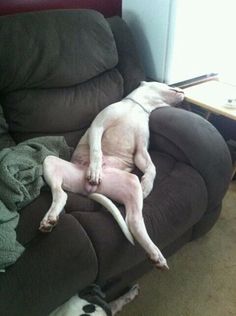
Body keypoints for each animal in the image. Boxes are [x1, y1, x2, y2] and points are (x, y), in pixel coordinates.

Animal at [39, 81, 184, 270]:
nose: (183, 91)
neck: (136, 106)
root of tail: (87, 191)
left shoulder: (141, 151)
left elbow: (152, 167)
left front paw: (147, 185)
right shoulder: (98, 127)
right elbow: (96, 150)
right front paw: (95, 170)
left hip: (130, 182)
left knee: (133, 221)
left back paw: (155, 253)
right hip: (49, 161)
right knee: (60, 194)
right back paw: (50, 218)